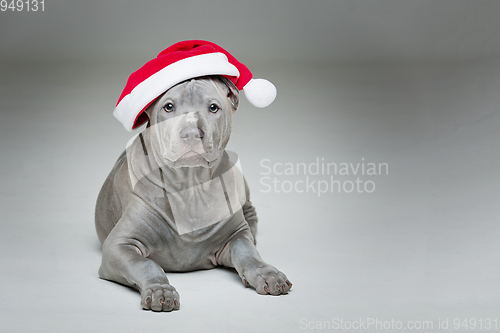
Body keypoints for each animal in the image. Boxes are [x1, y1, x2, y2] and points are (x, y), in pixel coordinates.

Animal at [95, 75, 292, 312]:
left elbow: (247, 252)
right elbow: (145, 263)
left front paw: (267, 273)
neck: (191, 186)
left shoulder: (235, 235)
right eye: (168, 107)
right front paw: (160, 289)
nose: (191, 134)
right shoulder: (119, 245)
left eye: (213, 107)